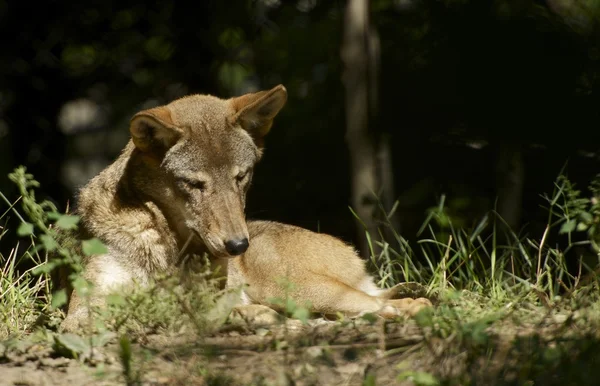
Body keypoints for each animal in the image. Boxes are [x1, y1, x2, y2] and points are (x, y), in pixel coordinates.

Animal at [61, 85, 428, 332]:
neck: (166, 243)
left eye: (242, 177)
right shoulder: (80, 315)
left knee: (393, 303)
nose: (238, 246)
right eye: (194, 184)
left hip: (297, 291)